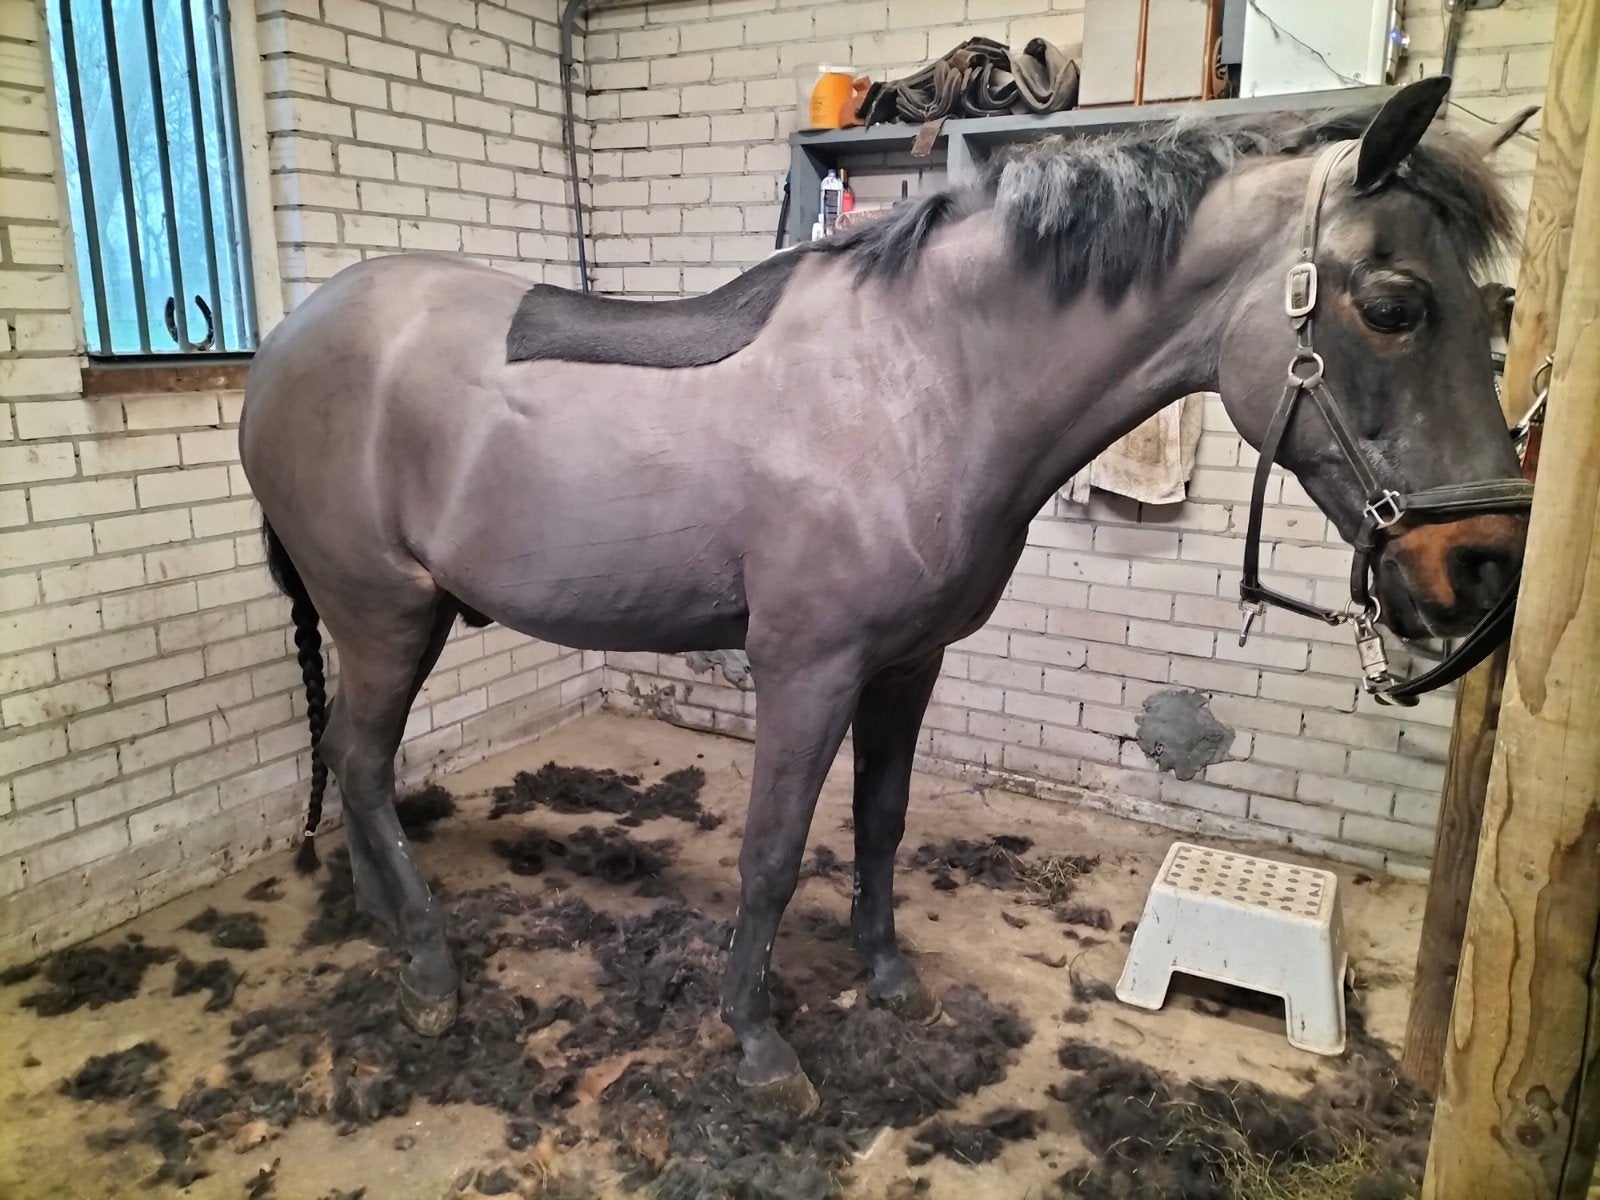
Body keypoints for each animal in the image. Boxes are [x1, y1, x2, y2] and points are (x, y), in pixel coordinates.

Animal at [241, 78, 1533, 1114]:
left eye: (1499, 313)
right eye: (1395, 304)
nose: (1482, 566)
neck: (922, 382)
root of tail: (289, 343)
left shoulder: (908, 665)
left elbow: (879, 822)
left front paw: (888, 978)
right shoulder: (806, 671)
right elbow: (771, 851)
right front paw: (758, 1044)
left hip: (397, 621)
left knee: (355, 768)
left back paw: (382, 923)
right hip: (382, 614)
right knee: (364, 766)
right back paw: (428, 970)